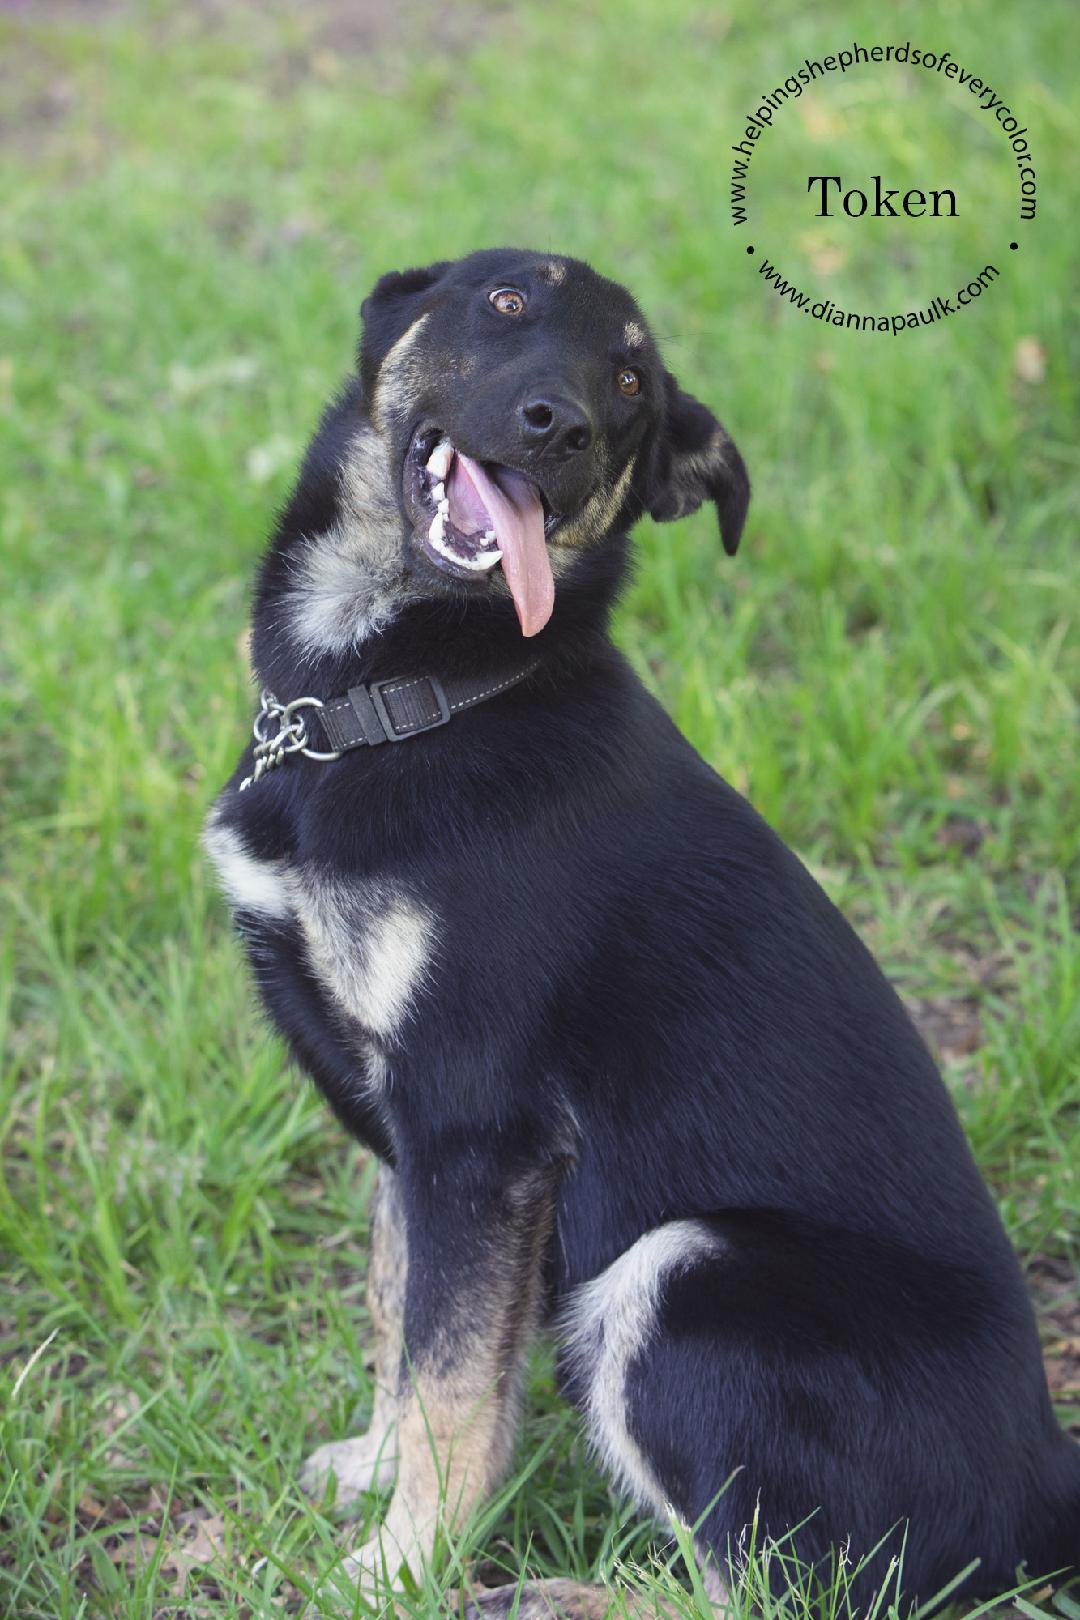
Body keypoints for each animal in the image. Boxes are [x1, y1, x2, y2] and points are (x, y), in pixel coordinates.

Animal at [204, 246, 1080, 1613]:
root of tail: (1050, 1485)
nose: (557, 426)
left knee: (769, 1585)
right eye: (507, 300)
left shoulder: (479, 1132)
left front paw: (399, 1565)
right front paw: (373, 1475)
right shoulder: (416, 1141)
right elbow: (406, 1324)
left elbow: (453, 1384)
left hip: (681, 1276)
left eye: (629, 384)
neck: (415, 696)